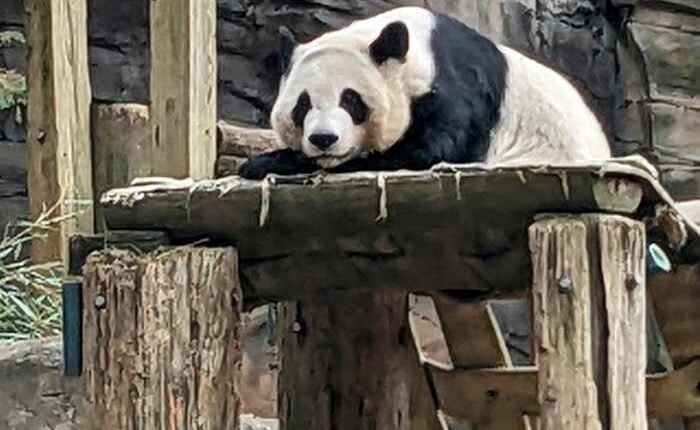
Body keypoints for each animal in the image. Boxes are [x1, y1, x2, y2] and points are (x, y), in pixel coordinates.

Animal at [238, 7, 611, 180]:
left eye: (351, 100)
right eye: (302, 105)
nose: (323, 139)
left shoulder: (456, 90)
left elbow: (424, 152)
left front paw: (265, 162)